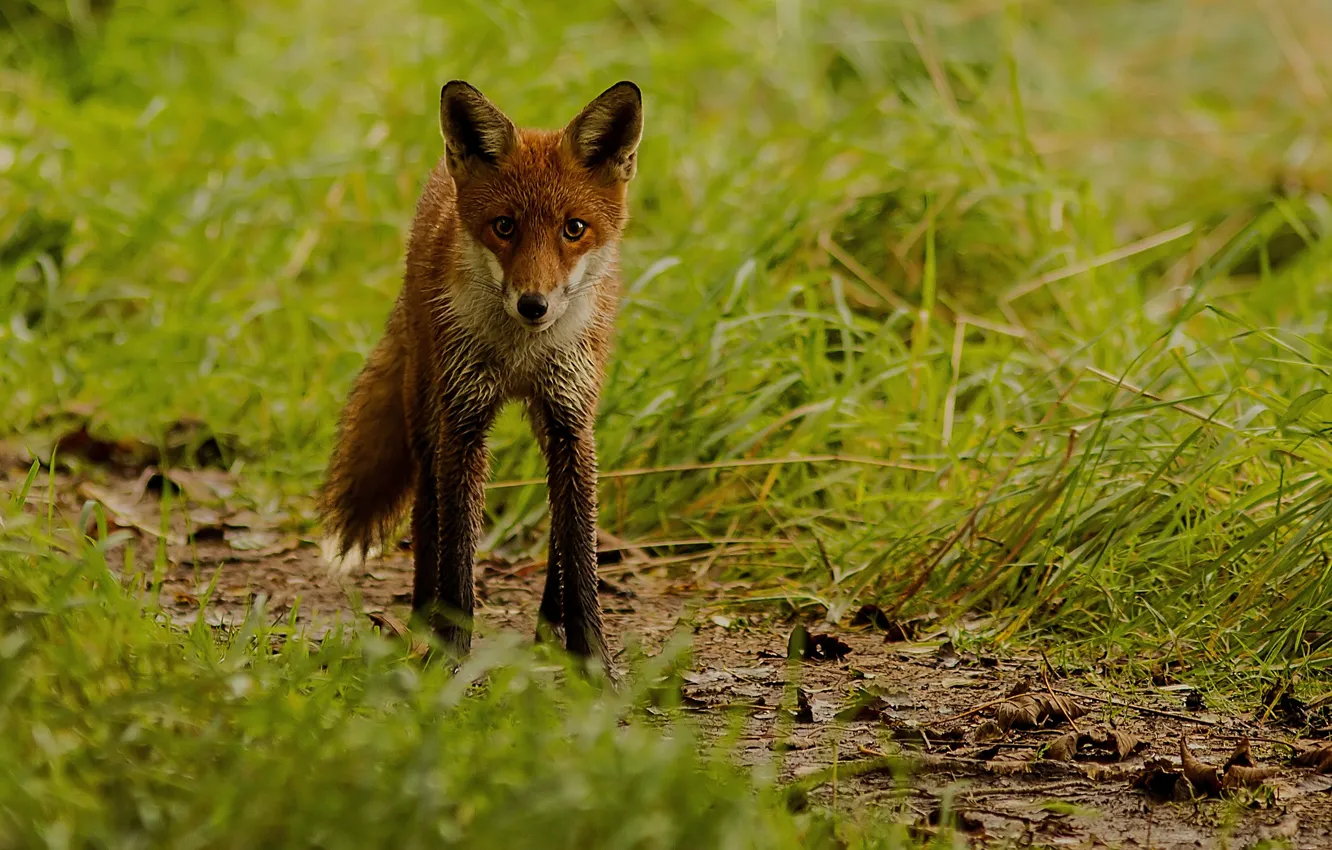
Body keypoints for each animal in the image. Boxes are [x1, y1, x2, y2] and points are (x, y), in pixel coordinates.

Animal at [319, 80, 644, 673]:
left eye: (574, 229)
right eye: (504, 226)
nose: (534, 305)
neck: (520, 355)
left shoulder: (571, 420)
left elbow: (580, 550)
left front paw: (593, 663)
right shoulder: (464, 422)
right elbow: (457, 554)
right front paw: (448, 656)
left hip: (550, 422)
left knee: (557, 529)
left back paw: (550, 623)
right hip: (427, 410)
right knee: (427, 516)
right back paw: (421, 619)